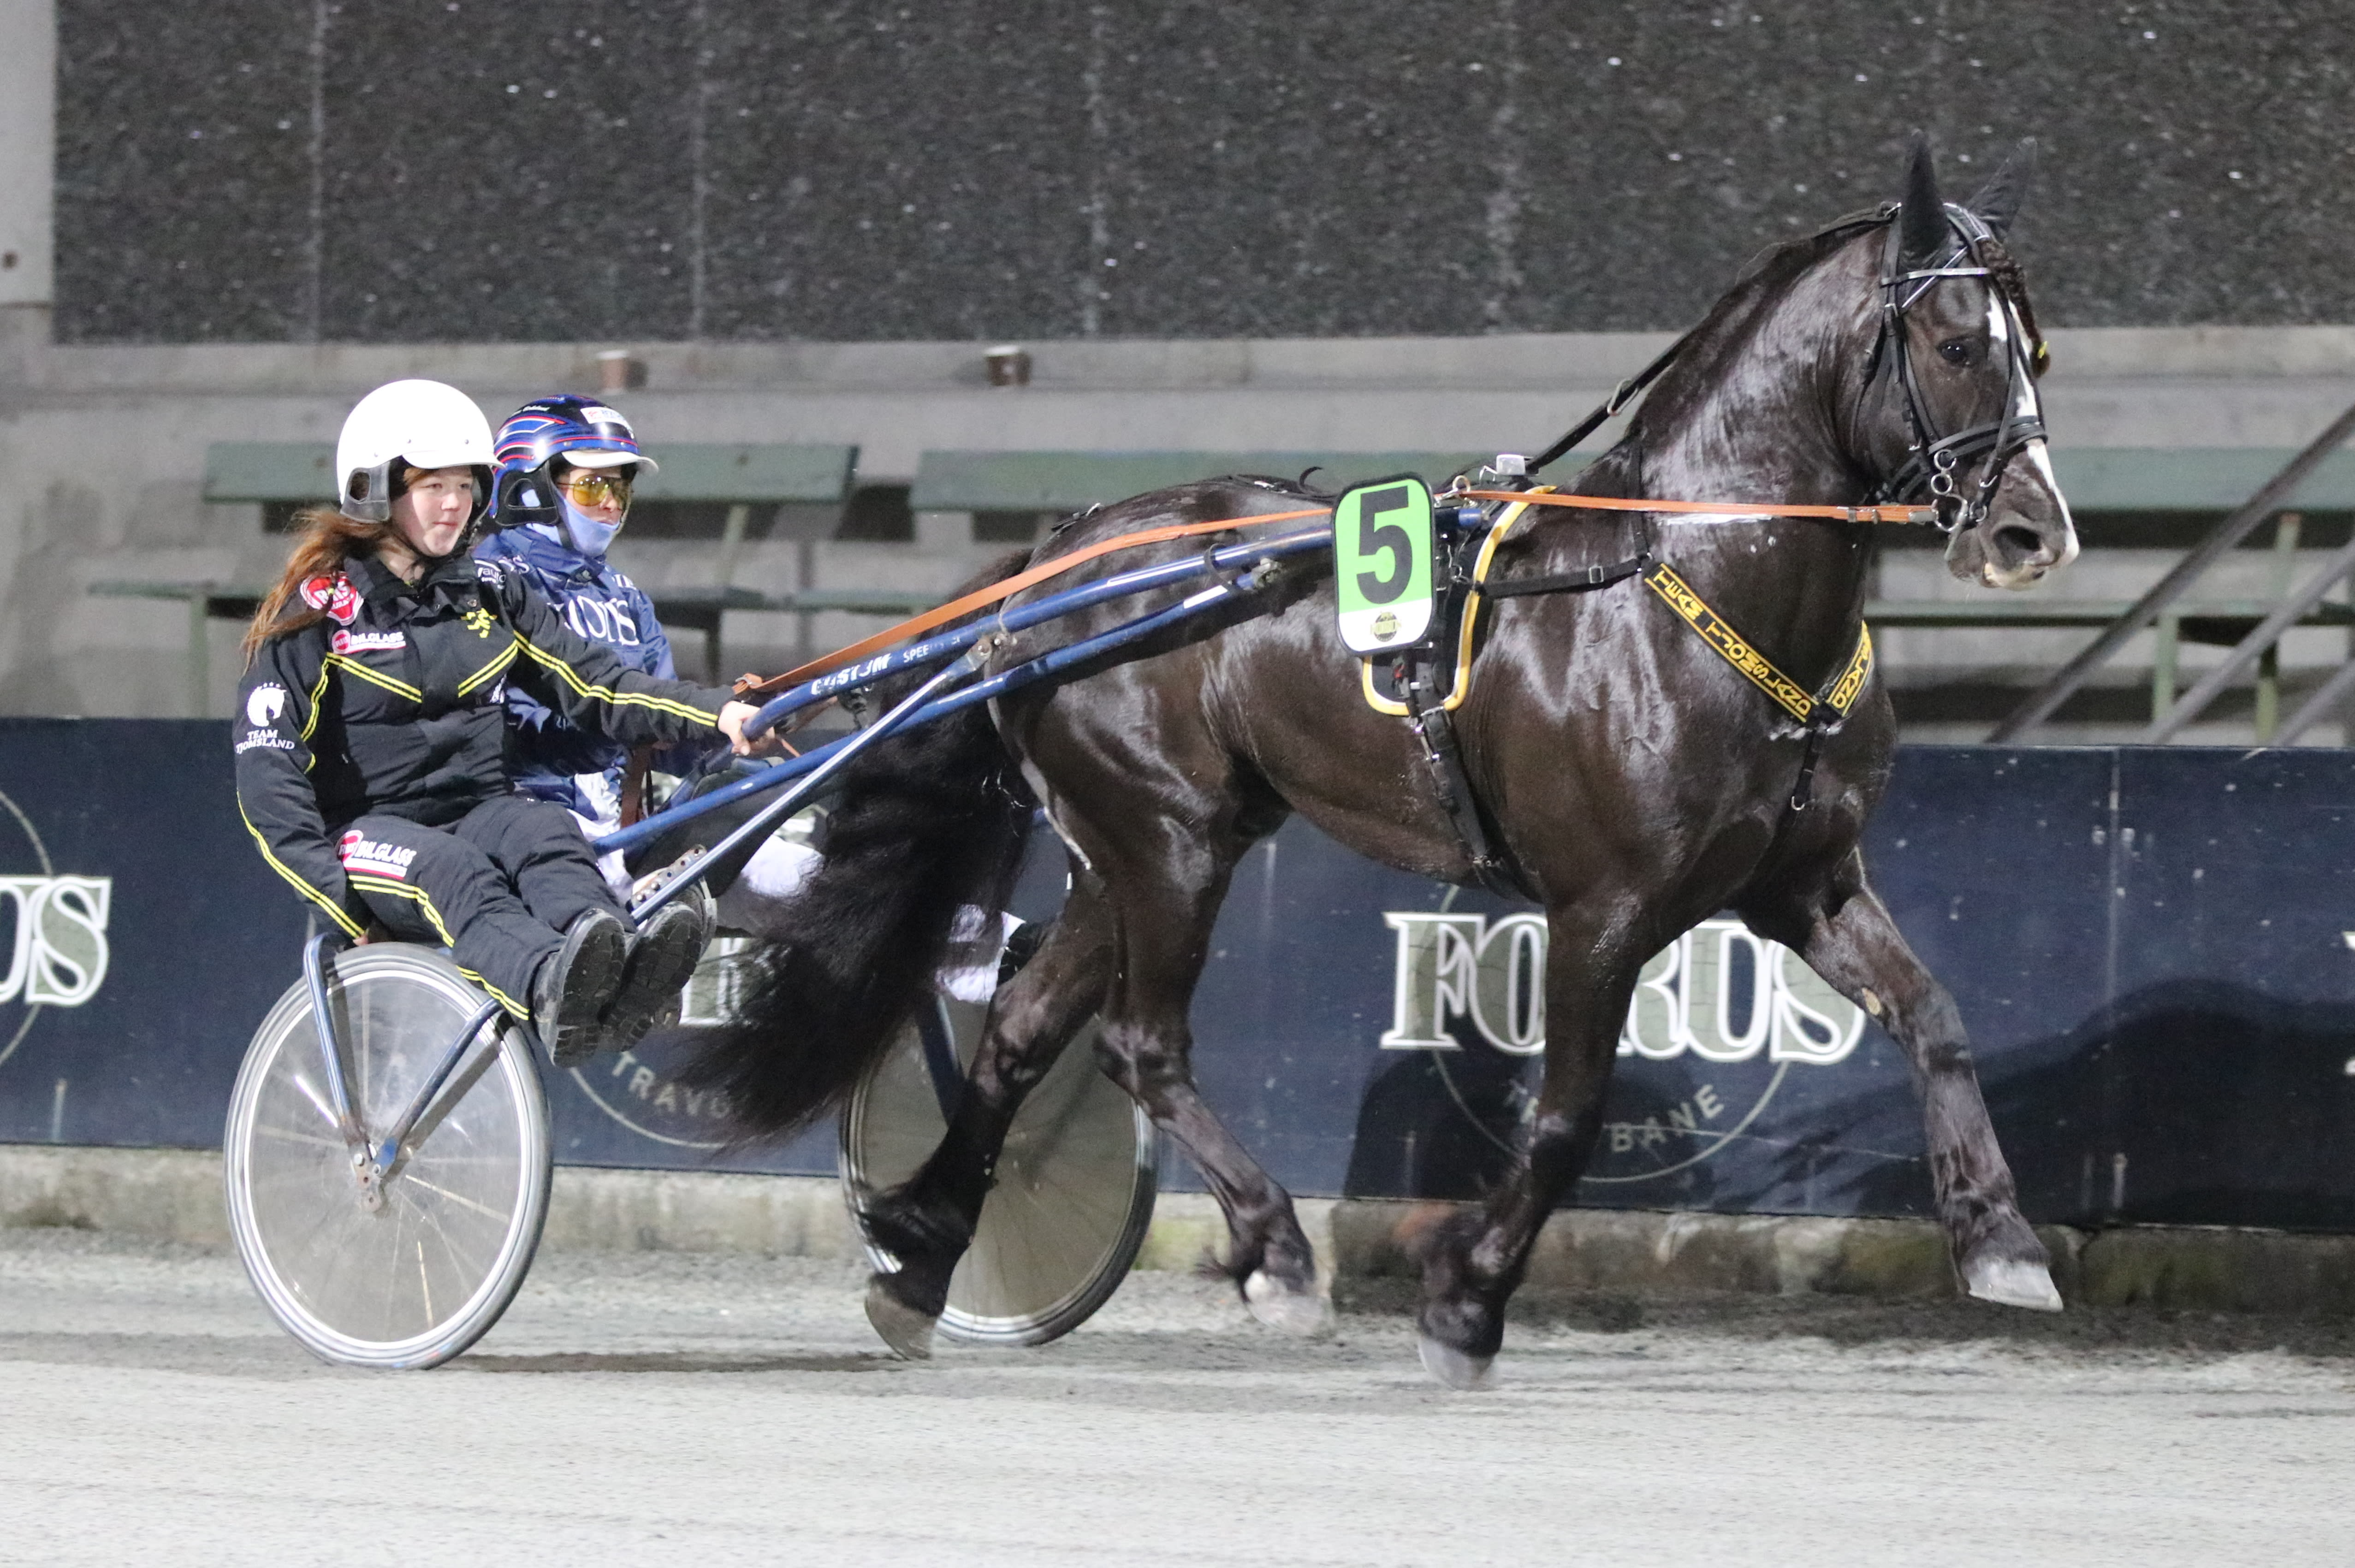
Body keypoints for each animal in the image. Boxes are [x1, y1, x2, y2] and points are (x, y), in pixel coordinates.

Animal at [684, 134, 2080, 1387]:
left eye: (2035, 350)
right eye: (1956, 344)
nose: (2032, 533)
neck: (1677, 588)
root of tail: (1064, 552)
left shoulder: (1805, 882)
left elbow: (1933, 1018)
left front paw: (2001, 1238)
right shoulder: (1602, 909)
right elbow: (1566, 1118)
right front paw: (1464, 1300)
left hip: (1129, 851)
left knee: (1023, 1027)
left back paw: (922, 1256)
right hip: (1170, 842)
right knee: (1141, 1043)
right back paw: (1273, 1253)